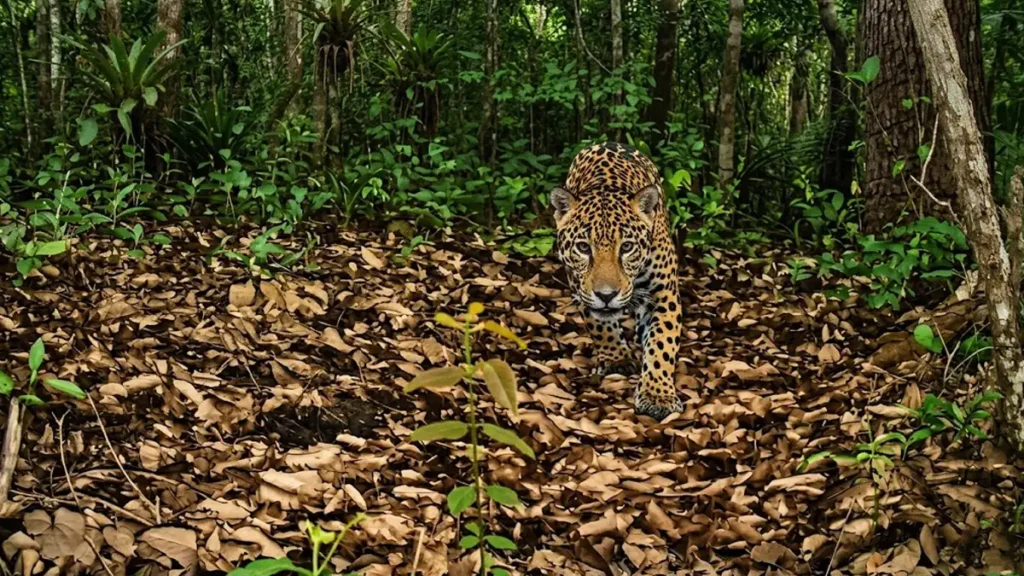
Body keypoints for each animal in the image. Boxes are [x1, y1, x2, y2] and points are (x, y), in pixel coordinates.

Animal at [551, 141, 685, 420]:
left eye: (627, 247)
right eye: (583, 247)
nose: (606, 295)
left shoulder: (663, 295)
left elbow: (662, 344)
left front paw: (657, 395)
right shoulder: (581, 288)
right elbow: (601, 325)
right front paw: (616, 359)